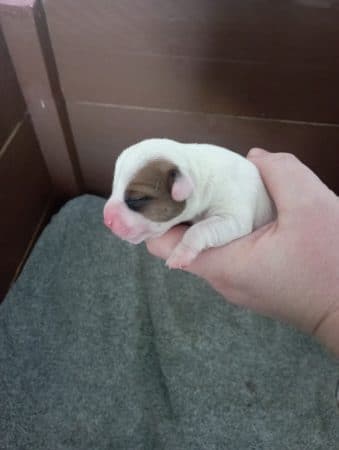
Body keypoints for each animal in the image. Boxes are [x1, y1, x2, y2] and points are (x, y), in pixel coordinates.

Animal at [103, 139, 276, 268]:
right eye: (113, 188)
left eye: (137, 199)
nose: (106, 220)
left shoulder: (233, 214)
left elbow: (197, 230)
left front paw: (181, 254)